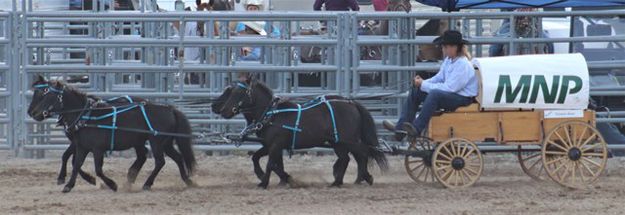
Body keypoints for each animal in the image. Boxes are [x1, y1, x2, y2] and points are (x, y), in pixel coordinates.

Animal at [27, 74, 195, 192]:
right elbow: (75, 163)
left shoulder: (97, 149)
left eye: (45, 92)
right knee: (176, 158)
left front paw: (111, 184)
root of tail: (170, 109)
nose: (32, 113)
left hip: (157, 142)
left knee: (160, 161)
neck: (85, 114)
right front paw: (69, 184)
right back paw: (187, 181)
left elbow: (97, 169)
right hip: (163, 142)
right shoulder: (81, 146)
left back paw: (146, 184)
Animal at [212, 79, 386, 188]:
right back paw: (345, 180)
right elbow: (259, 159)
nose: (222, 110)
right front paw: (282, 178)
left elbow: (271, 164)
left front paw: (264, 182)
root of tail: (351, 103)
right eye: (231, 91)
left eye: (238, 93)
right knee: (350, 158)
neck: (272, 114)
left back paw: (350, 180)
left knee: (359, 155)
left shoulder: (276, 144)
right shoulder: (270, 145)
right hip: (339, 142)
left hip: (346, 140)